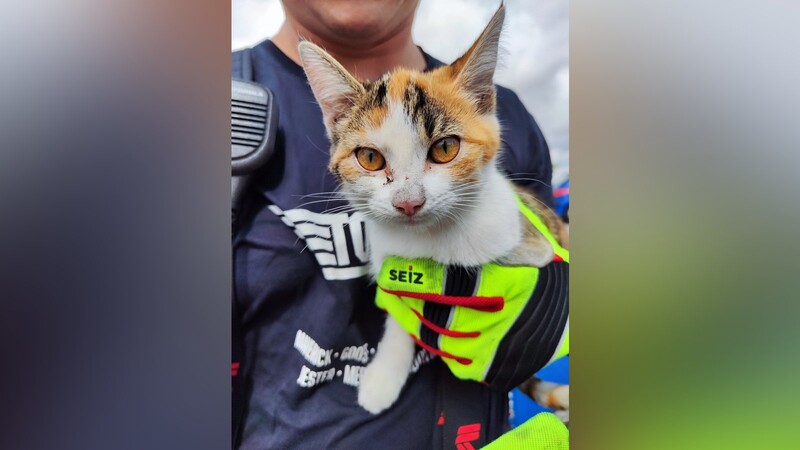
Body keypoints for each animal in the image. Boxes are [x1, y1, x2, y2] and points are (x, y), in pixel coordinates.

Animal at [300, 4, 568, 414]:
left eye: (445, 149)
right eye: (369, 158)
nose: (409, 202)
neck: (429, 243)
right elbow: (400, 318)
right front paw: (385, 373)